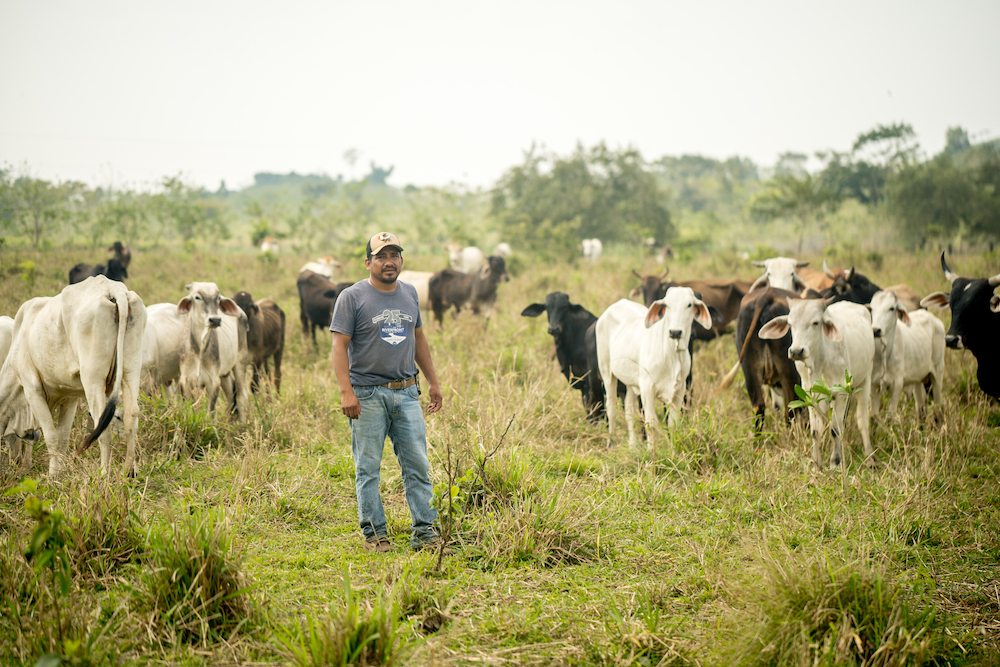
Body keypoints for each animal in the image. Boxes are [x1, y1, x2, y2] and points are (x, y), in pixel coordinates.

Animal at [0, 276, 146, 474]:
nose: (14, 463)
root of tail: (111, 288)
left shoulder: (33, 390)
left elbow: (52, 437)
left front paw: (53, 475)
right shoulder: (70, 397)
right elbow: (63, 438)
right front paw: (60, 471)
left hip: (93, 379)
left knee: (102, 427)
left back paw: (103, 474)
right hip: (131, 371)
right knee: (131, 419)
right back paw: (130, 472)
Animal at [176, 284, 248, 422]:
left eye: (218, 298)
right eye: (197, 297)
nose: (215, 320)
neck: (199, 349)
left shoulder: (213, 381)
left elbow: (211, 411)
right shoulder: (185, 380)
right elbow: (189, 407)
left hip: (240, 362)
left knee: (241, 394)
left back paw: (242, 423)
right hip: (225, 372)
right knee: (231, 392)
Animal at [596, 288, 716, 448]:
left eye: (689, 304)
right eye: (667, 305)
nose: (675, 332)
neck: (672, 354)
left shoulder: (680, 389)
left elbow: (673, 424)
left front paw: (673, 450)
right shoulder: (647, 388)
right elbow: (651, 424)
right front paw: (650, 451)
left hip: (630, 381)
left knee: (629, 410)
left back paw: (633, 445)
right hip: (607, 371)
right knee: (611, 407)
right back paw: (611, 442)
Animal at [756, 300, 876, 468]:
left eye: (815, 322)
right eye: (790, 324)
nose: (796, 351)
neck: (820, 361)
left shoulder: (841, 394)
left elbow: (835, 430)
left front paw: (835, 462)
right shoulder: (810, 395)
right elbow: (815, 431)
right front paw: (816, 463)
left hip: (865, 379)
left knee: (862, 420)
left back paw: (870, 457)